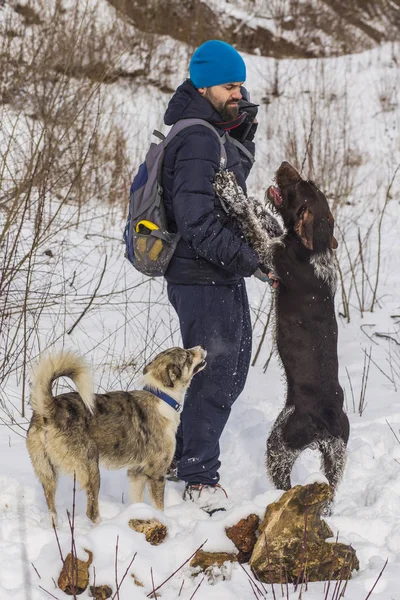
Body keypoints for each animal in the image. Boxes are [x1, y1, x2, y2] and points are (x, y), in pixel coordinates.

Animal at [26, 344, 206, 524]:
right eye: (187, 355)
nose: (201, 347)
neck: (162, 396)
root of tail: (51, 409)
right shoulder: (156, 474)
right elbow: (159, 508)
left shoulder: (136, 473)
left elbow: (137, 501)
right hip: (91, 469)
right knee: (91, 512)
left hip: (47, 472)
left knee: (52, 508)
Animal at [214, 163, 348, 502]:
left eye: (301, 185)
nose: (285, 166)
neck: (316, 249)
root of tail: (326, 419)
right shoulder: (277, 242)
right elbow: (268, 222)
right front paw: (254, 202)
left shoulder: (269, 256)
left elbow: (251, 223)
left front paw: (231, 191)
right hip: (337, 456)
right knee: (330, 494)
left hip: (280, 443)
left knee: (284, 481)